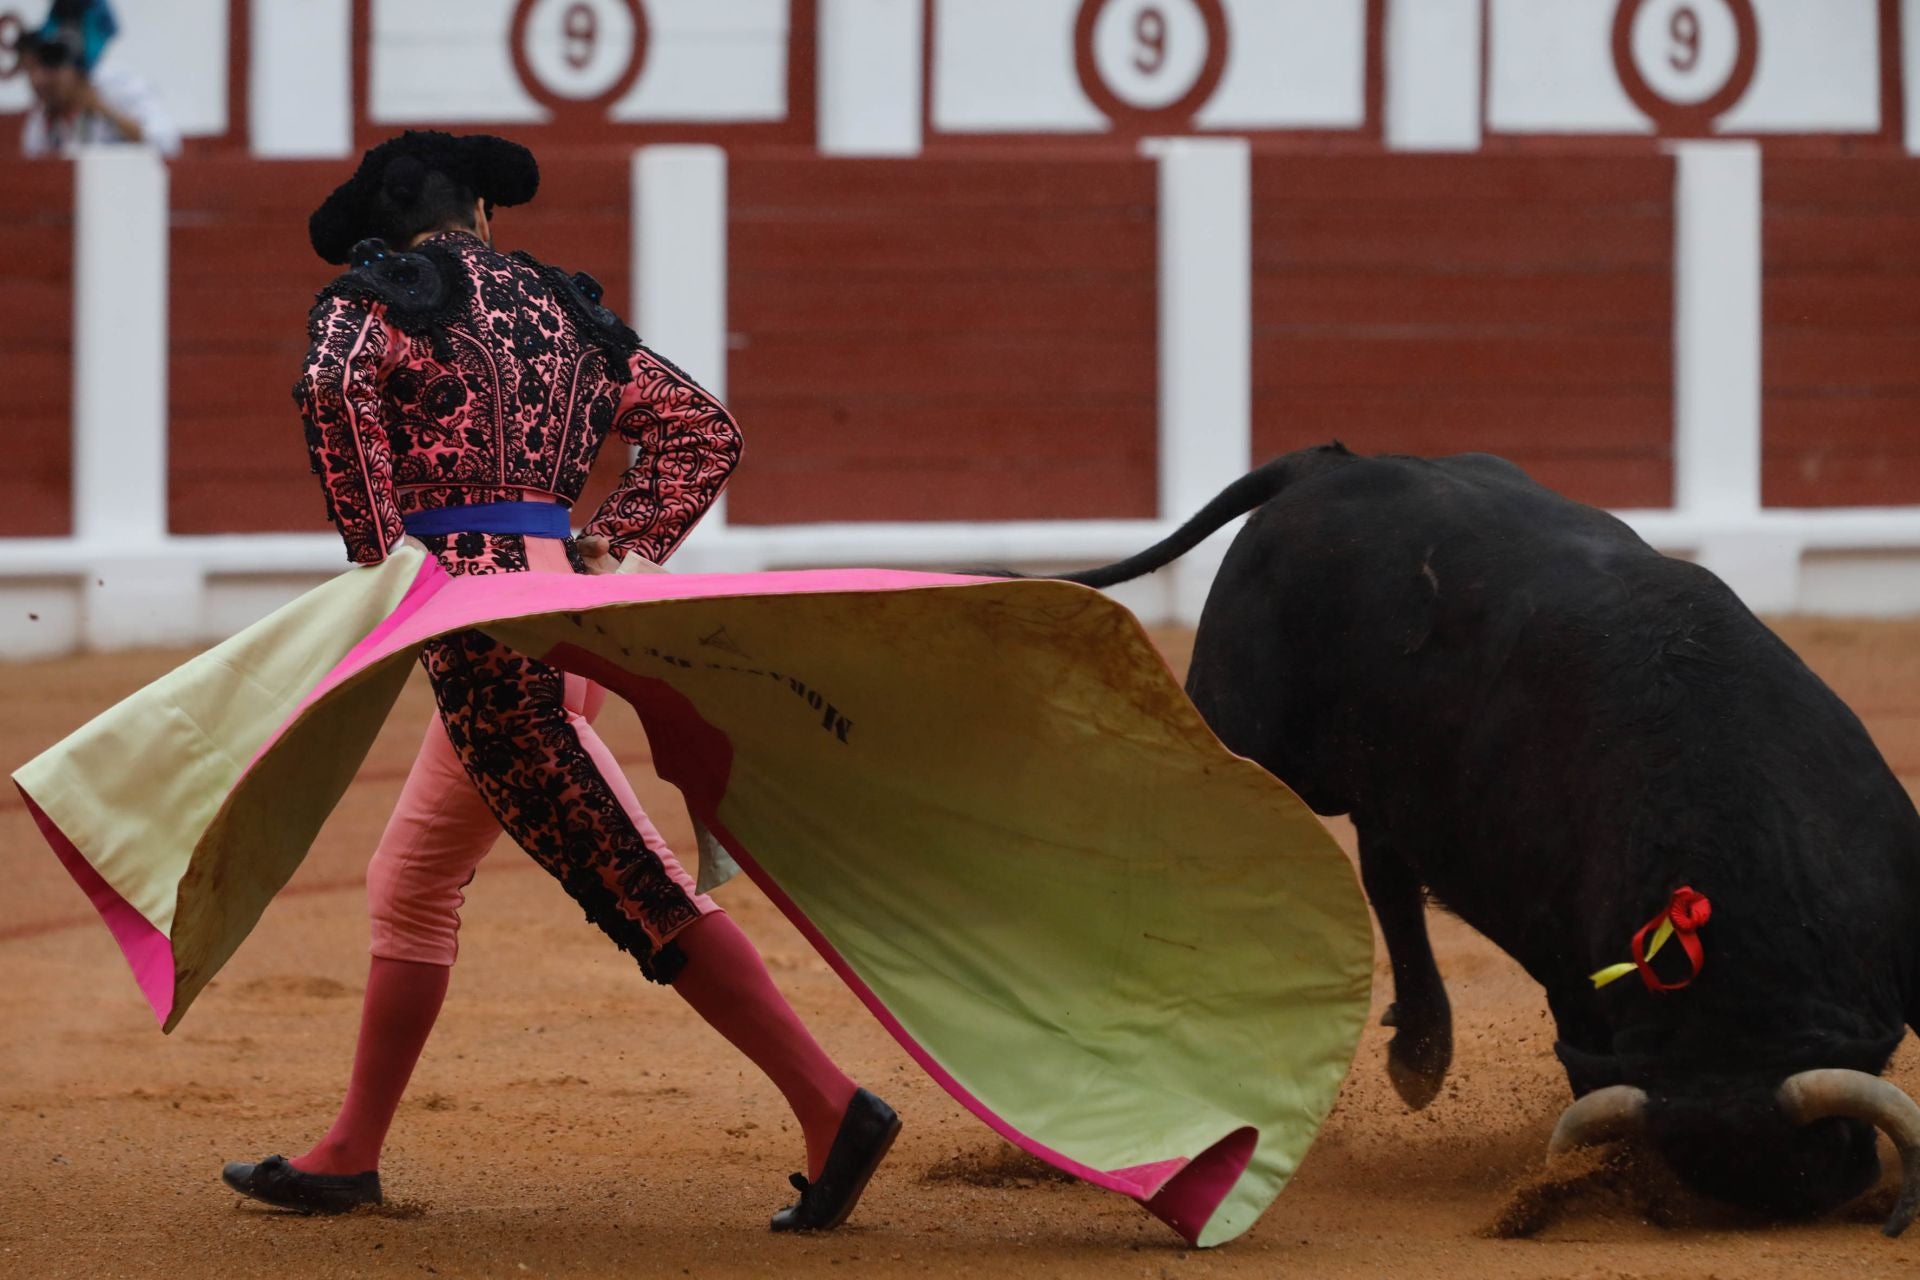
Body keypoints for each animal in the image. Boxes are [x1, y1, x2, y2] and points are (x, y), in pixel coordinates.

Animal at [1052, 449, 1920, 1228]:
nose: (1791, 1201)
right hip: (1246, 740)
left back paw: (1420, 1047)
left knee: (1386, 869)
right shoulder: (1571, 976)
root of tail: (1328, 464)